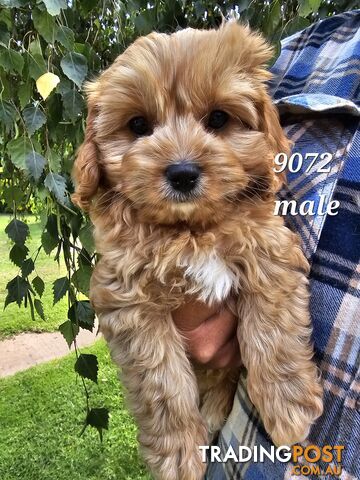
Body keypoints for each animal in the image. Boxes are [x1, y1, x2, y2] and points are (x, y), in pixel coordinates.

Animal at [72, 21, 324, 480]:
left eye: (219, 119)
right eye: (138, 125)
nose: (183, 172)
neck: (191, 231)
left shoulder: (270, 249)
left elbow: (274, 328)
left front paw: (288, 405)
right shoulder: (130, 302)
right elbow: (162, 386)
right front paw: (177, 454)